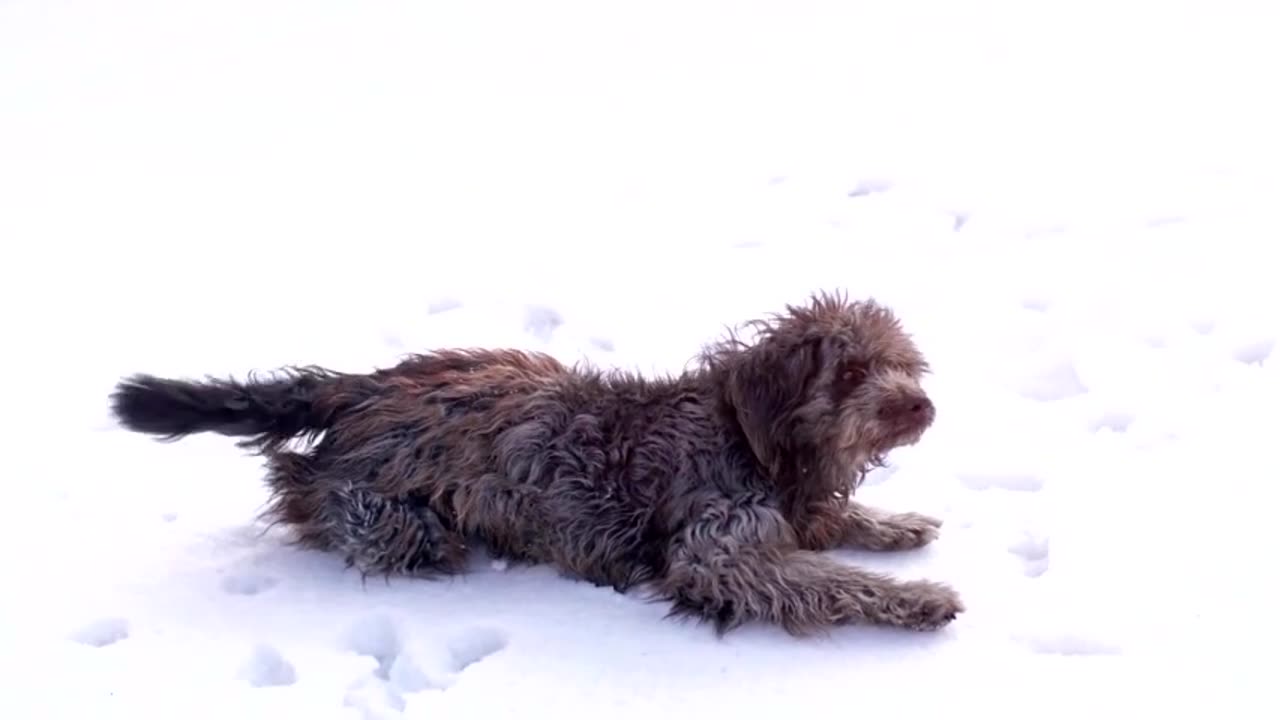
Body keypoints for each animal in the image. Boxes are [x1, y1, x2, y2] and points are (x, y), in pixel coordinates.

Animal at [112, 288, 962, 630]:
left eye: (900, 363)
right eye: (849, 373)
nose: (920, 406)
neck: (751, 437)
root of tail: (359, 387)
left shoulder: (796, 508)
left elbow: (839, 526)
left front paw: (898, 525)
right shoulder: (719, 552)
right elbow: (831, 582)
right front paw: (919, 600)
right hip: (391, 515)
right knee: (299, 487)